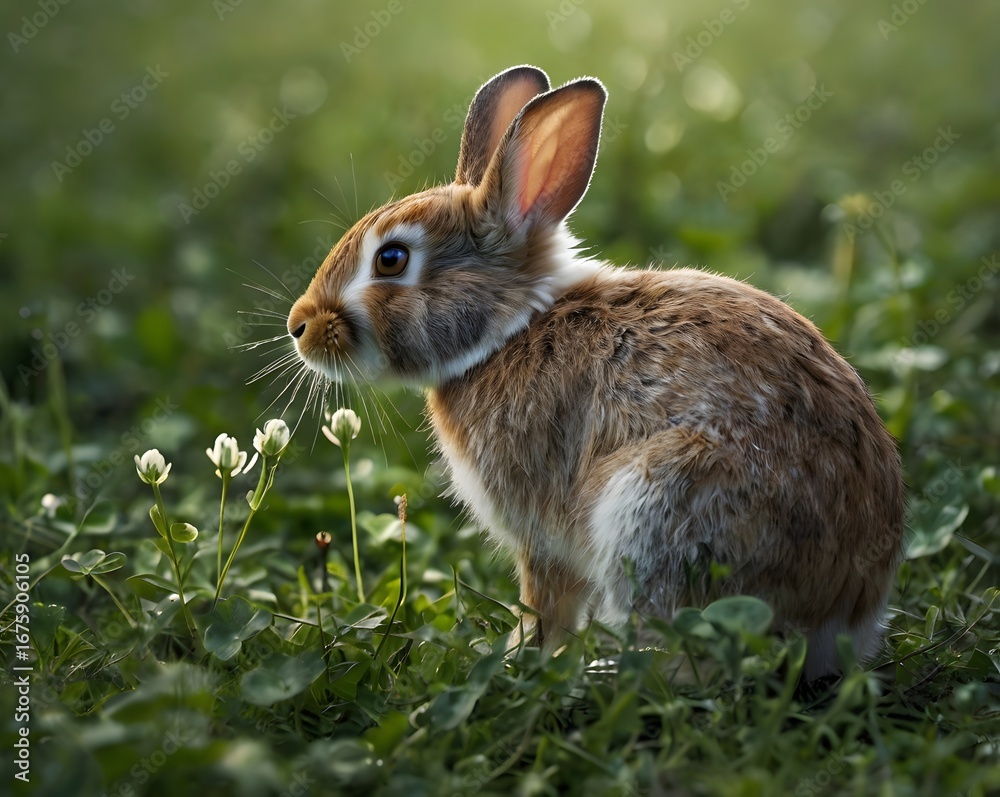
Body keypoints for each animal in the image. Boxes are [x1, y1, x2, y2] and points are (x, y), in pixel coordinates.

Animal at [286, 65, 905, 680]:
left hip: (661, 508)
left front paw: (516, 657)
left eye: (391, 260)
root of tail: (842, 609)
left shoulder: (540, 532)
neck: (508, 330)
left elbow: (546, 604)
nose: (298, 325)